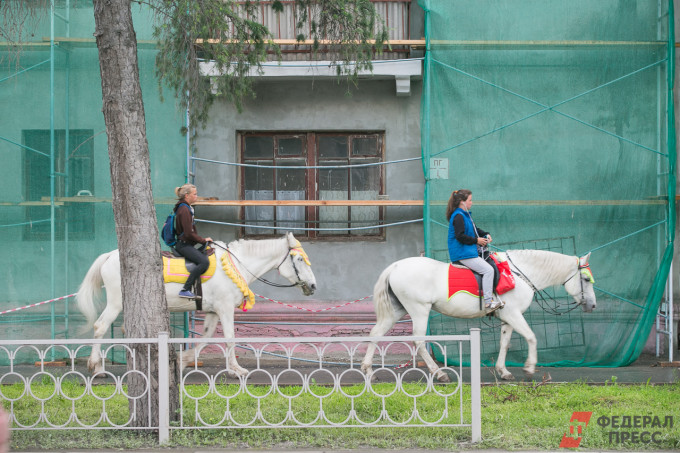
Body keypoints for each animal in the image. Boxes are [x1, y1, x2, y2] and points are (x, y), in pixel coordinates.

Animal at [76, 231, 316, 376]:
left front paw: (183, 361)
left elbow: (205, 338)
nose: (313, 286)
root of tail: (109, 256)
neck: (236, 265)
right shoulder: (225, 309)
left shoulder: (213, 312)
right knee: (100, 326)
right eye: (299, 259)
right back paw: (96, 367)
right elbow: (230, 337)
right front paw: (236, 370)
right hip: (116, 303)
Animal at [362, 249, 596, 380]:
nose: (593, 305)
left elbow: (505, 343)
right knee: (418, 341)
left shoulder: (508, 317)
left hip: (397, 310)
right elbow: (531, 337)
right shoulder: (514, 314)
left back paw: (367, 370)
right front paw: (529, 368)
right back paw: (440, 374)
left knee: (376, 333)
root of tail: (395, 266)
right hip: (419, 309)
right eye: (585, 279)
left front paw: (503, 371)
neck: (518, 274)